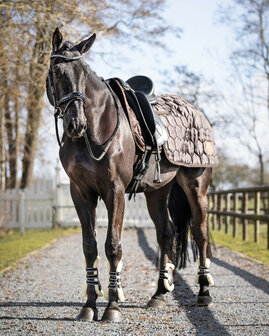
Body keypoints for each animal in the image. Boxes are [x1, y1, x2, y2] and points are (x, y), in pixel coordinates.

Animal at [45, 28, 215, 322]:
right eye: (57, 72)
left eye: (84, 72)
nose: (76, 123)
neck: (95, 130)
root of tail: (196, 110)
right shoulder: (80, 192)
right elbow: (89, 247)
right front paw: (89, 305)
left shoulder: (114, 191)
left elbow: (113, 245)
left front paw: (112, 306)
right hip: (157, 192)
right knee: (166, 234)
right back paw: (159, 293)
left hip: (196, 186)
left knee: (200, 232)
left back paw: (204, 292)